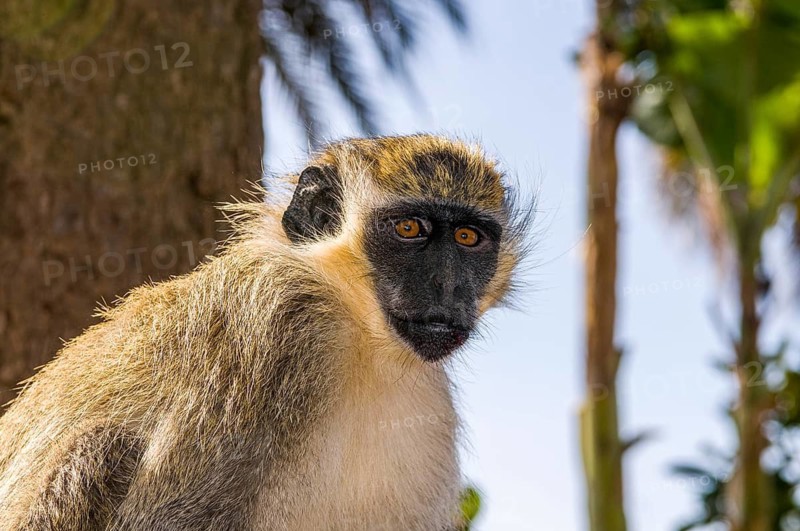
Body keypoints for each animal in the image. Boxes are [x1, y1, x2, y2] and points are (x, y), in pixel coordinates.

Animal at [0, 134, 529, 530]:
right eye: (409, 229)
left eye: (467, 238)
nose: (448, 285)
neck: (360, 332)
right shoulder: (275, 322)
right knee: (102, 448)